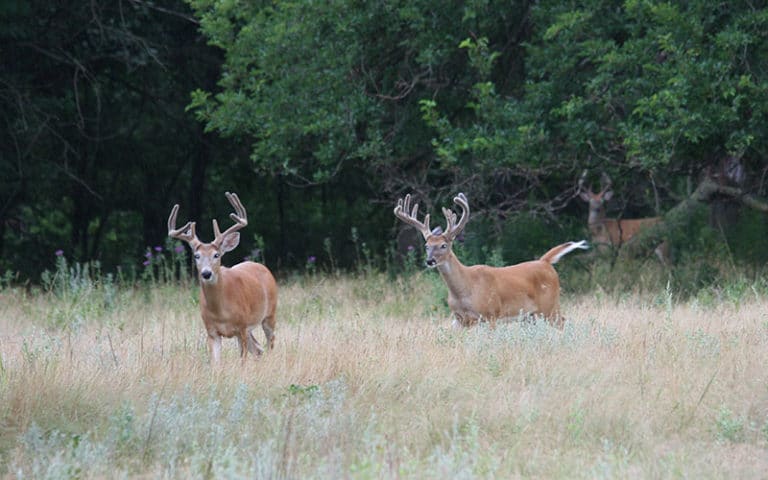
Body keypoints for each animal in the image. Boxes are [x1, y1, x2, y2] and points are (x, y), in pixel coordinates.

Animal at [168, 192, 277, 363]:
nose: (206, 273)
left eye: (216, 255)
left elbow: (242, 361)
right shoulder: (212, 331)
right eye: (196, 256)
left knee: (270, 343)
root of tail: (262, 267)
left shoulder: (242, 327)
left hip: (270, 314)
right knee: (258, 349)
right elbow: (215, 363)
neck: (221, 312)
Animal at [394, 192, 588, 329]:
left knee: (563, 322)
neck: (465, 290)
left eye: (443, 245)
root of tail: (545, 262)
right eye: (427, 245)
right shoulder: (460, 319)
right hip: (531, 315)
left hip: (550, 306)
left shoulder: (491, 314)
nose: (430, 261)